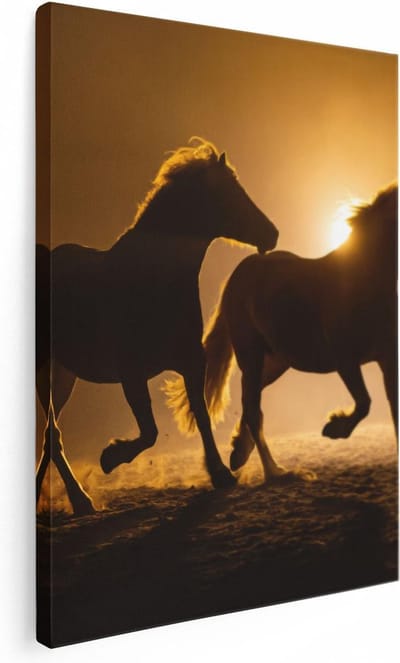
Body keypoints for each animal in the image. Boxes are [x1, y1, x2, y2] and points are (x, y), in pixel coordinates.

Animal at [36, 138, 279, 515]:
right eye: (230, 194)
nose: (272, 233)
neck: (154, 280)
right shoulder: (131, 373)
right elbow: (149, 431)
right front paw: (110, 457)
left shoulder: (191, 363)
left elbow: (201, 416)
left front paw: (221, 474)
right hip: (43, 372)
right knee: (53, 436)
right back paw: (81, 501)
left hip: (63, 376)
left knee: (51, 437)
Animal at [165, 183, 397, 482]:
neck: (363, 278)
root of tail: (241, 272)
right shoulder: (345, 359)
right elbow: (365, 402)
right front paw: (334, 429)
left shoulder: (388, 360)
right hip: (252, 355)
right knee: (253, 409)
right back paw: (273, 471)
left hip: (275, 362)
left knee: (250, 402)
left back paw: (239, 454)